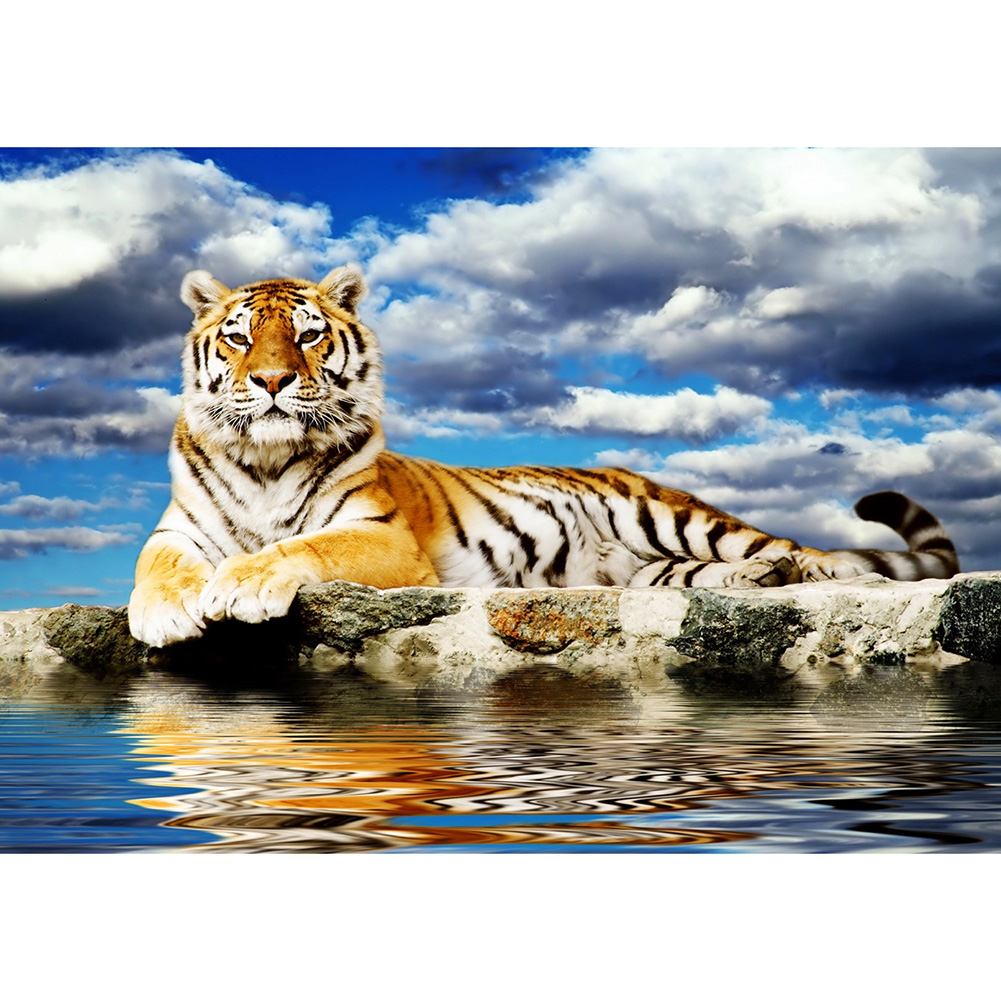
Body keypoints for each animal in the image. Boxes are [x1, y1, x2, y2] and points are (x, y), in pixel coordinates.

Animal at [127, 266, 960, 648]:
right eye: (239, 338)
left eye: (305, 335)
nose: (270, 381)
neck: (265, 460)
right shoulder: (179, 529)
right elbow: (156, 565)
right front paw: (167, 610)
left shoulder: (380, 534)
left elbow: (304, 547)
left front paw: (240, 585)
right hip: (650, 568)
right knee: (722, 572)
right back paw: (762, 580)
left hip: (671, 515)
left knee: (806, 551)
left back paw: (823, 573)